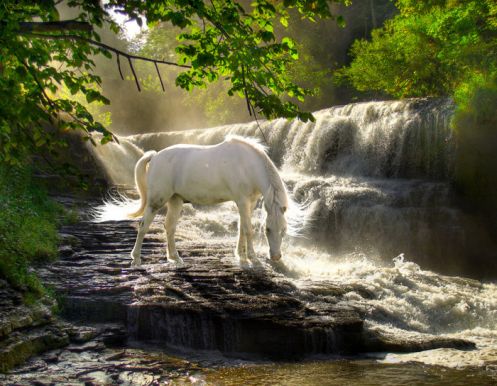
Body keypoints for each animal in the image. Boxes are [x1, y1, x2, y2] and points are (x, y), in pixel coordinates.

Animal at [128, 137, 288, 266]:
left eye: (284, 230)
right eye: (267, 229)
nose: (276, 257)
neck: (246, 165)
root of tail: (155, 156)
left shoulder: (250, 203)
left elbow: (242, 228)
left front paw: (241, 256)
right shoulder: (242, 201)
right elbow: (248, 229)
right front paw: (253, 257)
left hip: (175, 200)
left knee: (169, 227)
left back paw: (174, 257)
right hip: (156, 201)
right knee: (143, 226)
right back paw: (136, 259)